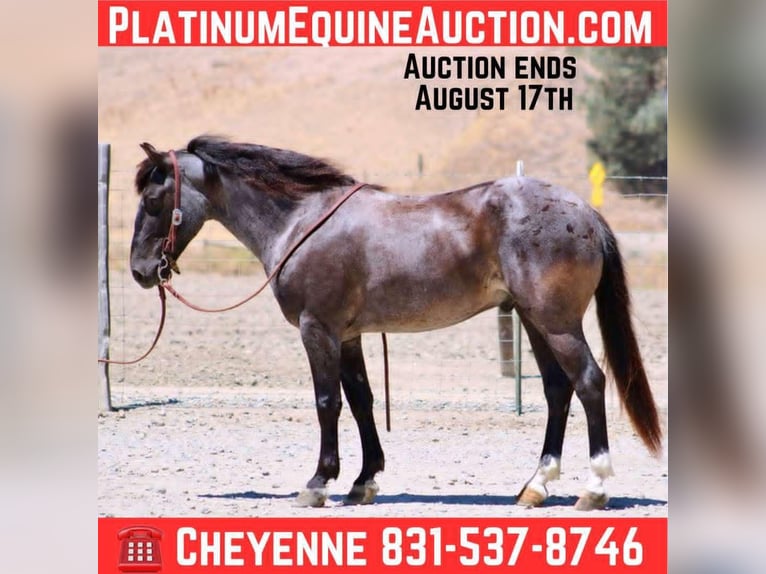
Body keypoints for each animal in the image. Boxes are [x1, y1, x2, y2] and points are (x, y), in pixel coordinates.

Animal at [129, 135, 662, 510]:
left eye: (154, 201)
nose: (139, 270)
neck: (301, 221)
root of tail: (584, 211)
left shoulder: (317, 330)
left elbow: (327, 403)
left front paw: (318, 483)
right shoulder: (347, 336)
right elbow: (361, 401)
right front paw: (363, 482)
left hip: (557, 323)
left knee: (588, 382)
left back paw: (593, 489)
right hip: (535, 321)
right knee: (557, 389)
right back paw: (535, 486)